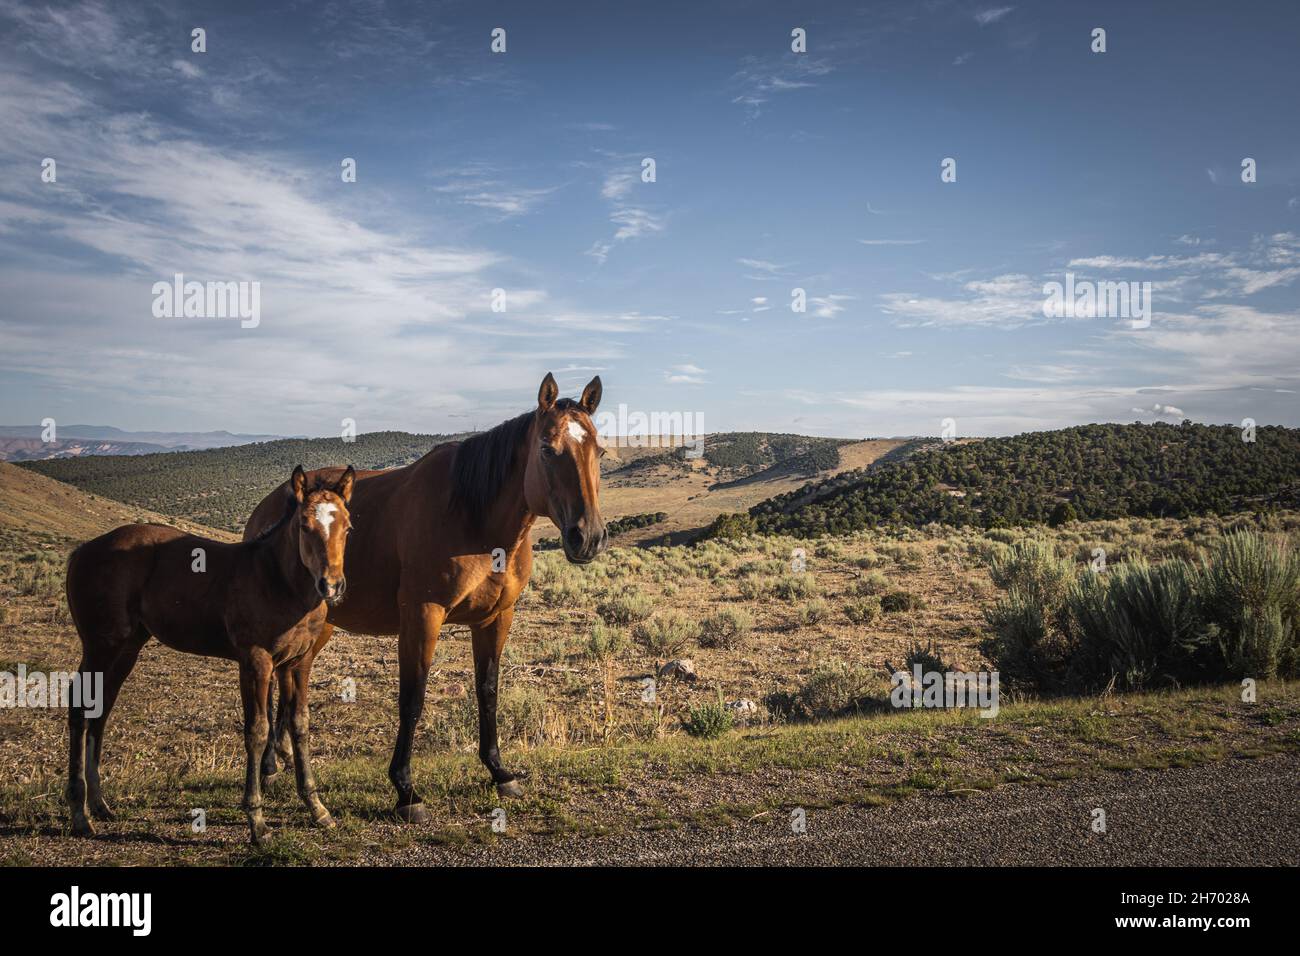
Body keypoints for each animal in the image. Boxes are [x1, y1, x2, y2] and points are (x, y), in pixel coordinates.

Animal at [65, 465, 355, 844]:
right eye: (304, 526)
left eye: (347, 526)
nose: (332, 586)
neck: (277, 581)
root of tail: (83, 551)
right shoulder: (255, 663)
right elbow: (257, 731)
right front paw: (257, 822)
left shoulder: (298, 663)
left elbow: (300, 724)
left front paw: (317, 808)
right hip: (101, 645)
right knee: (79, 706)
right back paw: (79, 813)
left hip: (126, 648)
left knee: (101, 708)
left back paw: (99, 804)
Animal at [243, 373, 607, 821]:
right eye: (547, 449)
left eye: (599, 450)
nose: (587, 537)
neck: (474, 516)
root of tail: (266, 507)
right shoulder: (422, 615)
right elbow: (412, 699)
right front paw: (405, 789)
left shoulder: (496, 617)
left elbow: (488, 690)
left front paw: (499, 771)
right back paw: (270, 767)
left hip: (319, 626)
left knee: (290, 679)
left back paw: (277, 761)